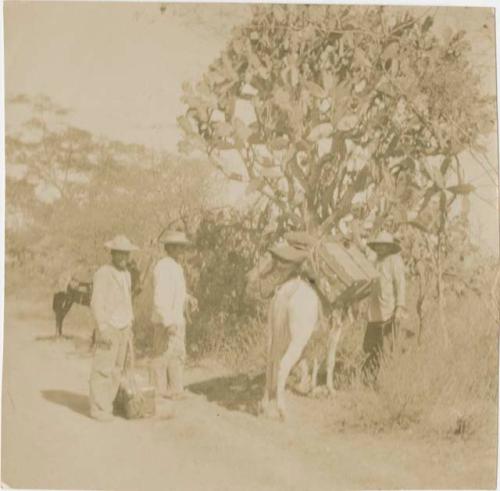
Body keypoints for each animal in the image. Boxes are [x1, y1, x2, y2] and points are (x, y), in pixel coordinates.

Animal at [246, 252, 348, 420]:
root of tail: (289, 292)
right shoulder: (335, 331)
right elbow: (330, 361)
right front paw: (330, 390)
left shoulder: (317, 336)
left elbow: (315, 361)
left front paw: (312, 389)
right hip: (297, 340)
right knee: (284, 364)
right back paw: (282, 410)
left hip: (275, 335)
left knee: (271, 363)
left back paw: (265, 405)